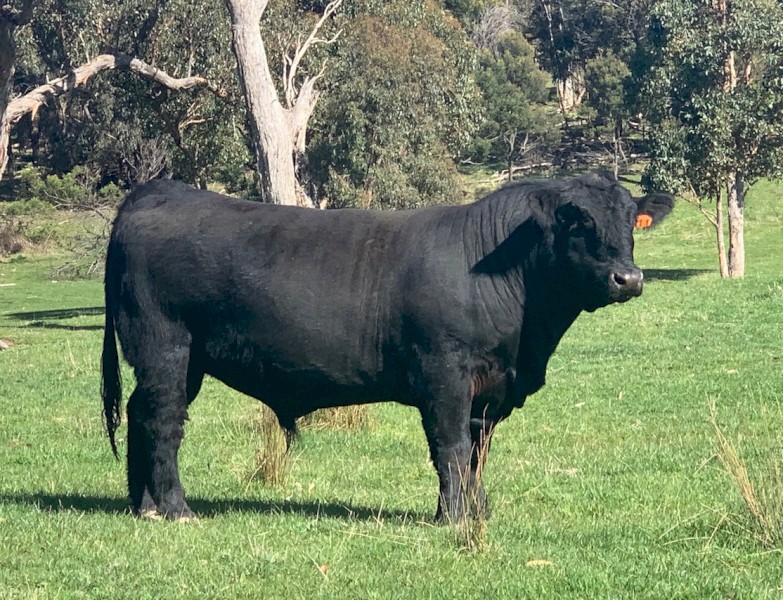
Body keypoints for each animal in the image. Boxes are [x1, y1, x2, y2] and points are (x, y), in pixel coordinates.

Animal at [101, 172, 673, 522]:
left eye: (631, 221)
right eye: (579, 222)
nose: (628, 278)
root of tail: (161, 191)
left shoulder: (490, 390)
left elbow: (476, 454)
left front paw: (476, 512)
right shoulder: (445, 373)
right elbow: (450, 447)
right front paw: (454, 519)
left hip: (180, 360)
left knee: (141, 412)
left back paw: (143, 503)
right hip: (166, 345)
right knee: (164, 421)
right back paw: (176, 508)